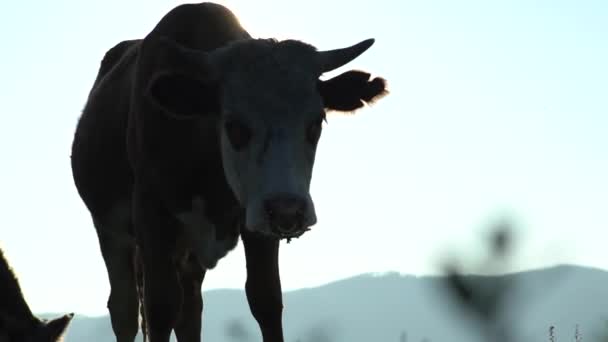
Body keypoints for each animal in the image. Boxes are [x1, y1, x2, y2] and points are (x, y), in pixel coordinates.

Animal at [69, 1, 388, 340]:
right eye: (234, 126)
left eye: (315, 123)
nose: (288, 209)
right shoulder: (151, 215)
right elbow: (160, 307)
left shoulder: (257, 222)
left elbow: (266, 299)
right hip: (111, 231)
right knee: (126, 309)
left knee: (190, 309)